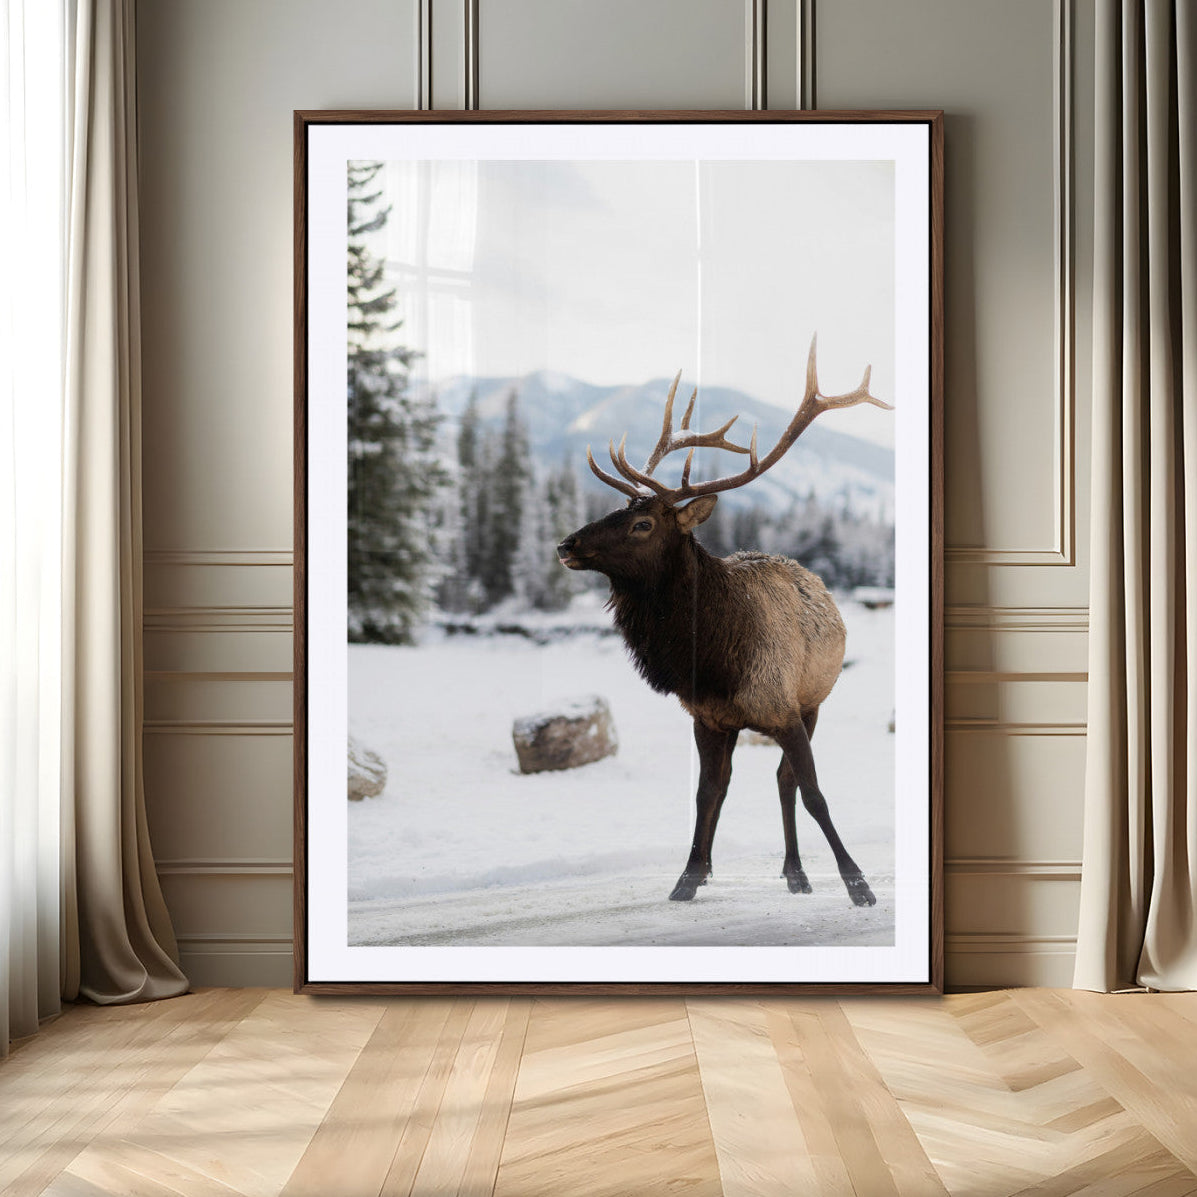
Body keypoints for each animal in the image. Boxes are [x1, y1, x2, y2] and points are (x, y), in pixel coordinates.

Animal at [556, 336, 891, 906]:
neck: (715, 659)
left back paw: (797, 872)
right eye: (617, 509)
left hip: (813, 701)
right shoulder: (707, 717)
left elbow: (814, 793)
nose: (566, 544)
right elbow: (707, 791)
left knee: (784, 781)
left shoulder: (786, 708)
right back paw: (770, 869)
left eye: (642, 523)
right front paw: (688, 877)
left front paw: (858, 883)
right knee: (742, 782)